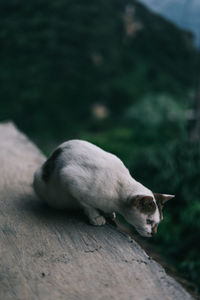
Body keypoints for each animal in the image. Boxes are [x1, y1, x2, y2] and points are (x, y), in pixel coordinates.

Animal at [33, 140, 173, 237]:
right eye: (149, 221)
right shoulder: (70, 179)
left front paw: (108, 213)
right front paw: (96, 217)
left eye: (159, 222)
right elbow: (87, 205)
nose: (154, 233)